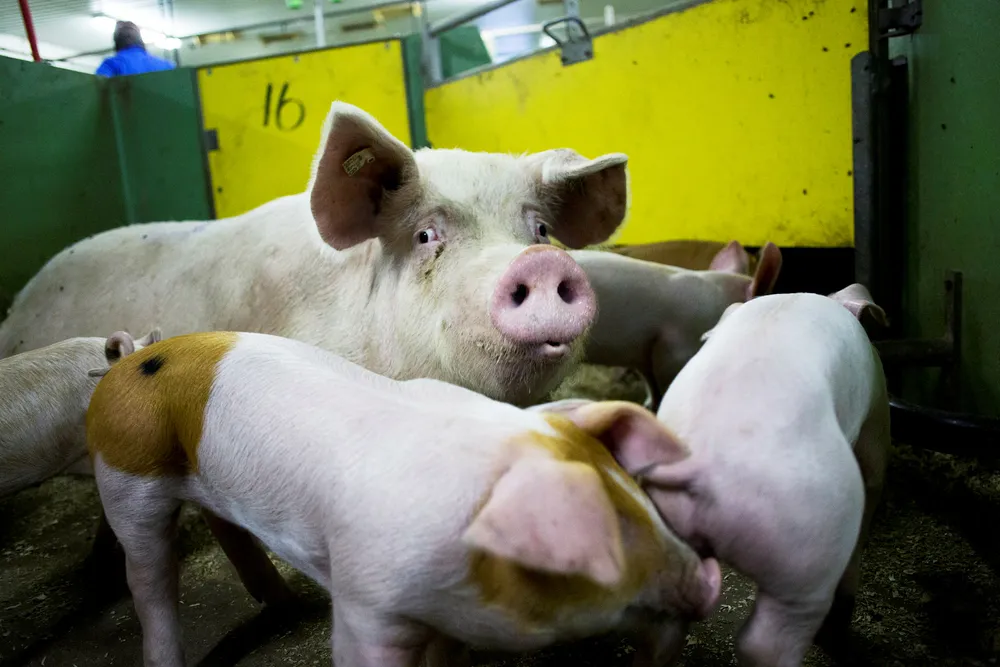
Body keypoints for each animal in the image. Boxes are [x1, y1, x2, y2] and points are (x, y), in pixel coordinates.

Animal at [86, 331, 722, 667]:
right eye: (603, 537)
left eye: (637, 496)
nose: (709, 577)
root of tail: (127, 360)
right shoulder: (366, 598)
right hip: (126, 481)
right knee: (149, 579)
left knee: (227, 528)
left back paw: (287, 606)